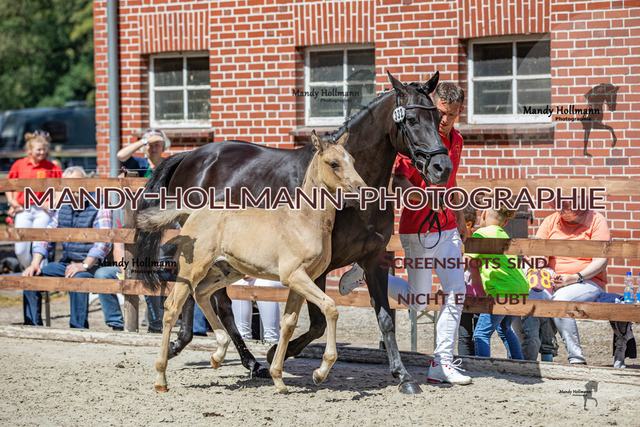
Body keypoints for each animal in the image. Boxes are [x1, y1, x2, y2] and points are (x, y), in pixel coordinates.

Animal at [145, 131, 366, 393]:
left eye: (353, 160)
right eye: (333, 163)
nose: (361, 188)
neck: (305, 221)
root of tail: (193, 213)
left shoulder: (302, 280)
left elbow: (288, 323)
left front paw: (278, 379)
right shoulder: (294, 276)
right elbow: (330, 307)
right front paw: (320, 373)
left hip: (226, 272)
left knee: (202, 294)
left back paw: (218, 354)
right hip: (193, 269)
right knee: (172, 307)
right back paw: (161, 378)